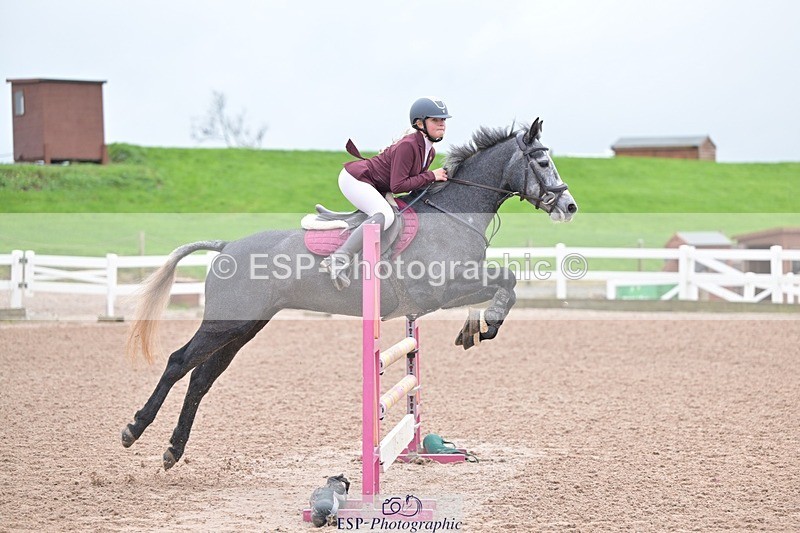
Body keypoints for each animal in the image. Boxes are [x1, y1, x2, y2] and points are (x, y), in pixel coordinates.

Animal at [121, 118, 578, 469]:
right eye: (542, 161)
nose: (569, 207)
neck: (454, 214)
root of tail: (226, 245)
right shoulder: (441, 289)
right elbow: (506, 281)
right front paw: (489, 325)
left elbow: (503, 281)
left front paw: (474, 329)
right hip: (223, 323)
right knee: (178, 362)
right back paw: (134, 429)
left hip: (244, 326)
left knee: (202, 377)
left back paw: (173, 449)